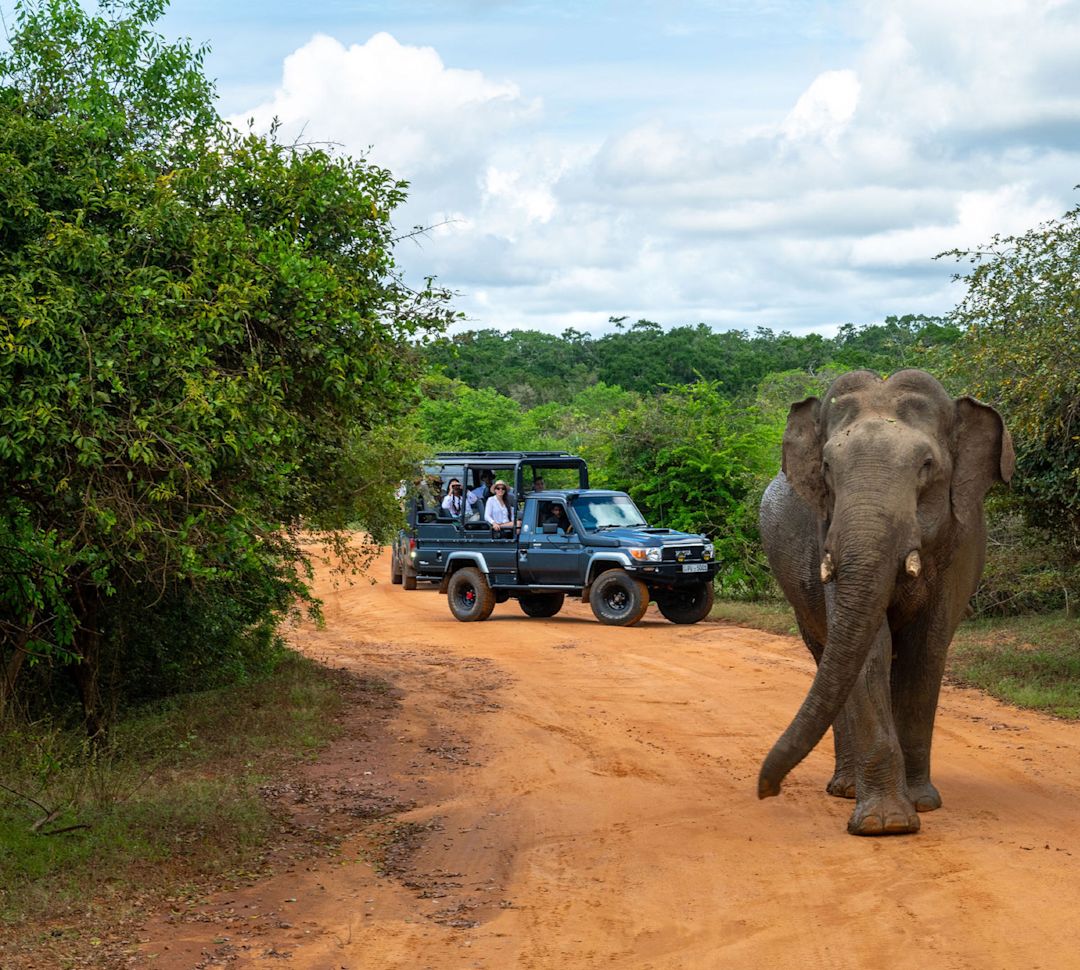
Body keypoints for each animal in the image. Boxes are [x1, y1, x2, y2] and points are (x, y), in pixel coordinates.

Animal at [757, 369, 1014, 835]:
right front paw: (886, 824)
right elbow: (871, 650)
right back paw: (845, 790)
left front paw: (921, 806)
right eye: (826, 468)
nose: (767, 790)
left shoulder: (960, 542)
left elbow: (925, 650)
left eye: (927, 466)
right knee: (828, 656)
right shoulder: (827, 536)